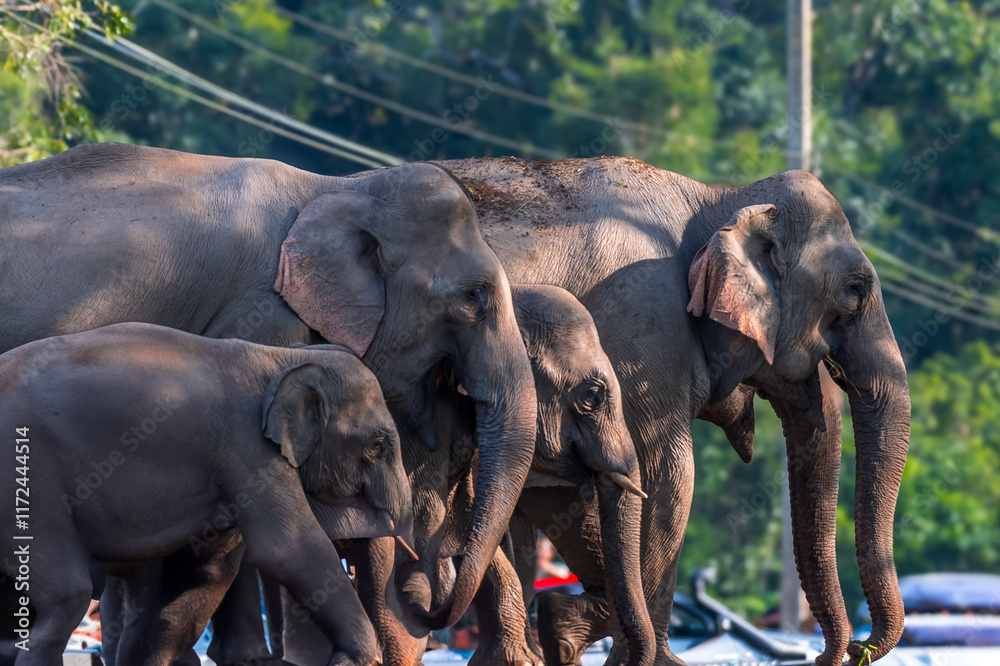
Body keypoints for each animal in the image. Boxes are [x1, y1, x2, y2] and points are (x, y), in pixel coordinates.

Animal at [0, 323, 412, 666]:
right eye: (378, 446)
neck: (280, 357)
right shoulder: (248, 447)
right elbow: (288, 549)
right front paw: (360, 657)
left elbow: (203, 573)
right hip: (29, 483)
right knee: (66, 598)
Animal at [422, 157, 911, 666]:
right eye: (855, 290)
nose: (844, 651)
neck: (717, 198)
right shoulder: (641, 327)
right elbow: (667, 473)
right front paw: (633, 653)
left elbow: (560, 493)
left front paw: (565, 628)